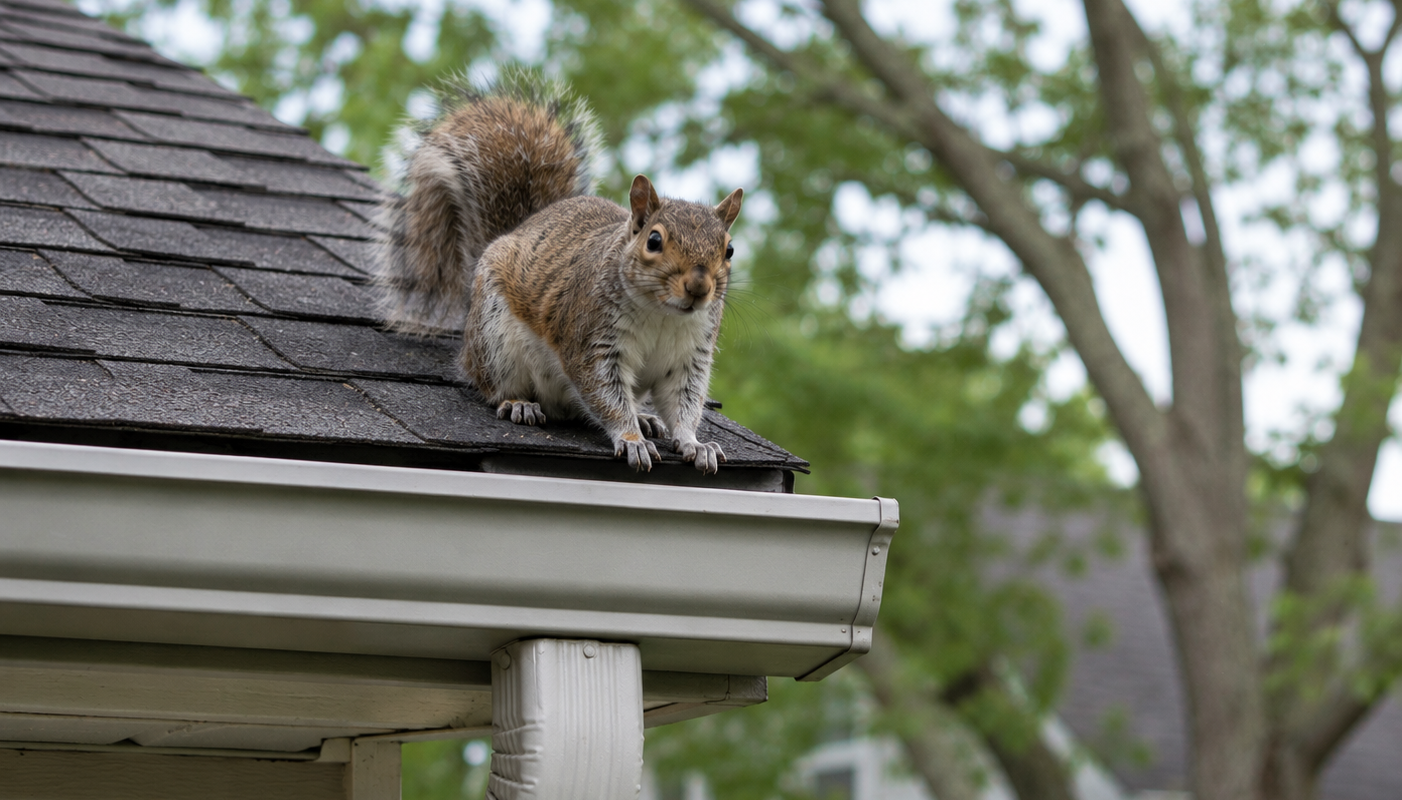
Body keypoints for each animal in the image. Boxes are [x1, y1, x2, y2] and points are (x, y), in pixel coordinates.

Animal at [375, 69, 743, 474]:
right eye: (654, 241)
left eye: (729, 249)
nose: (698, 287)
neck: (663, 315)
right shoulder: (590, 340)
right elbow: (605, 394)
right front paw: (632, 439)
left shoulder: (689, 357)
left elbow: (684, 404)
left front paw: (695, 443)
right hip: (494, 337)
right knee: (491, 385)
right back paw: (519, 404)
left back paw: (646, 416)